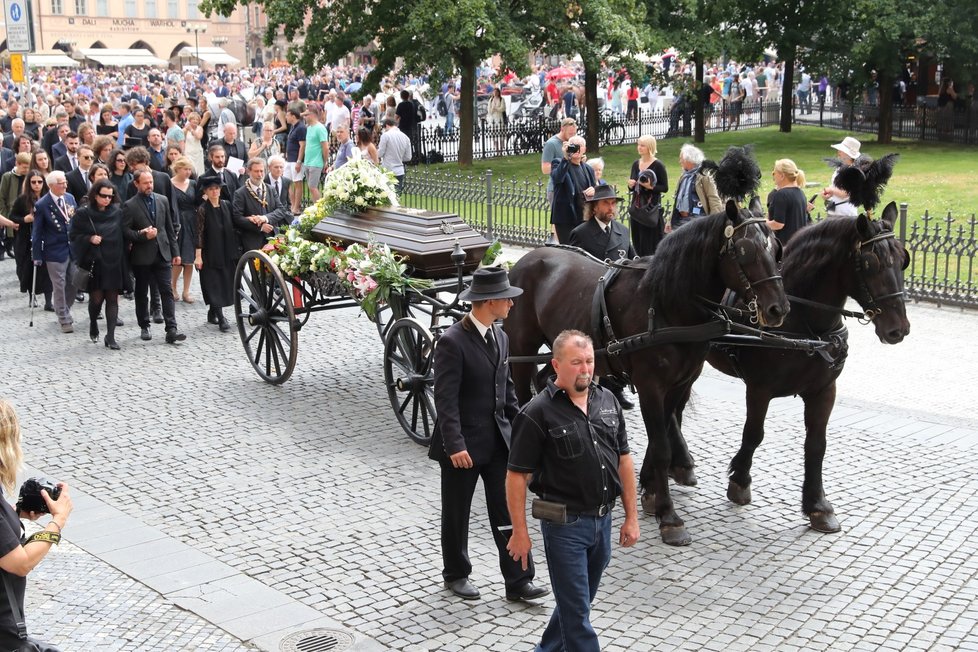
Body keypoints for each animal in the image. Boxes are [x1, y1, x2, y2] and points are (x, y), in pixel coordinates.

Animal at [500, 200, 788, 544]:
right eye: (745, 250)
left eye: (776, 248)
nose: (778, 309)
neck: (666, 305)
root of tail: (525, 260)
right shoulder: (650, 384)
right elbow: (662, 446)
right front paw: (669, 514)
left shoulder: (678, 384)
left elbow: (663, 432)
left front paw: (651, 491)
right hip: (521, 348)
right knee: (521, 398)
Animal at [676, 202, 912, 536]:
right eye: (870, 263)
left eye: (902, 260)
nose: (898, 329)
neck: (804, 325)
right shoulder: (759, 389)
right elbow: (754, 434)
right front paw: (740, 481)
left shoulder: (823, 391)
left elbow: (816, 445)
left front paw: (817, 505)